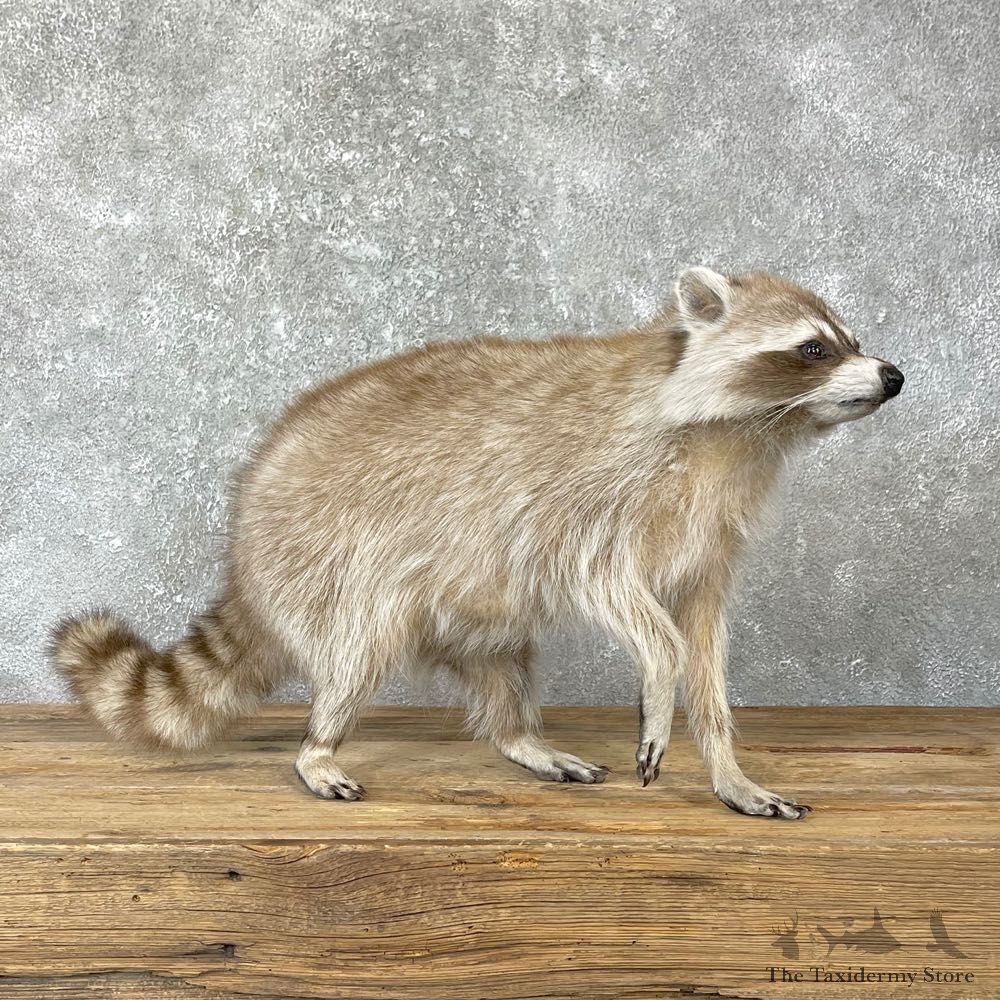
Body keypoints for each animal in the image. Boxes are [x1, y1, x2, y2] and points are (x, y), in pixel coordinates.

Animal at [52, 267, 903, 818]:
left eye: (851, 339)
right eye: (813, 349)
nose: (893, 376)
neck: (743, 432)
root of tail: (245, 540)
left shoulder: (710, 535)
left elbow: (703, 646)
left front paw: (727, 763)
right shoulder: (594, 498)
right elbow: (622, 599)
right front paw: (660, 679)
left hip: (472, 598)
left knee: (503, 665)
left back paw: (520, 735)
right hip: (335, 558)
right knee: (356, 654)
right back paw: (319, 745)